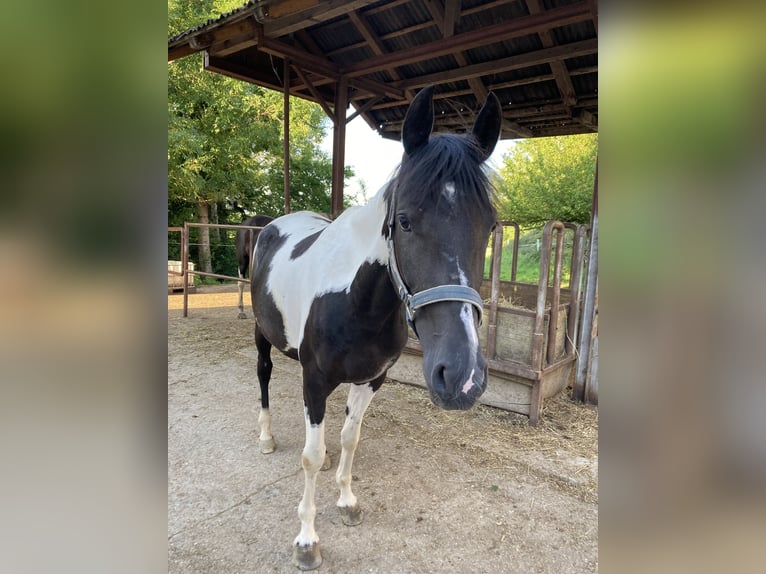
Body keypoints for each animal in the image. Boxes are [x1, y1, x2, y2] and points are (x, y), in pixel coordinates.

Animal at [252, 86, 504, 572]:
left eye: (491, 225)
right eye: (404, 220)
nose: (461, 376)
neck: (354, 301)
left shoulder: (372, 379)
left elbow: (350, 439)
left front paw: (347, 501)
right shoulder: (314, 380)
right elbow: (310, 457)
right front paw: (306, 540)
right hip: (261, 336)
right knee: (264, 376)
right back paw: (267, 436)